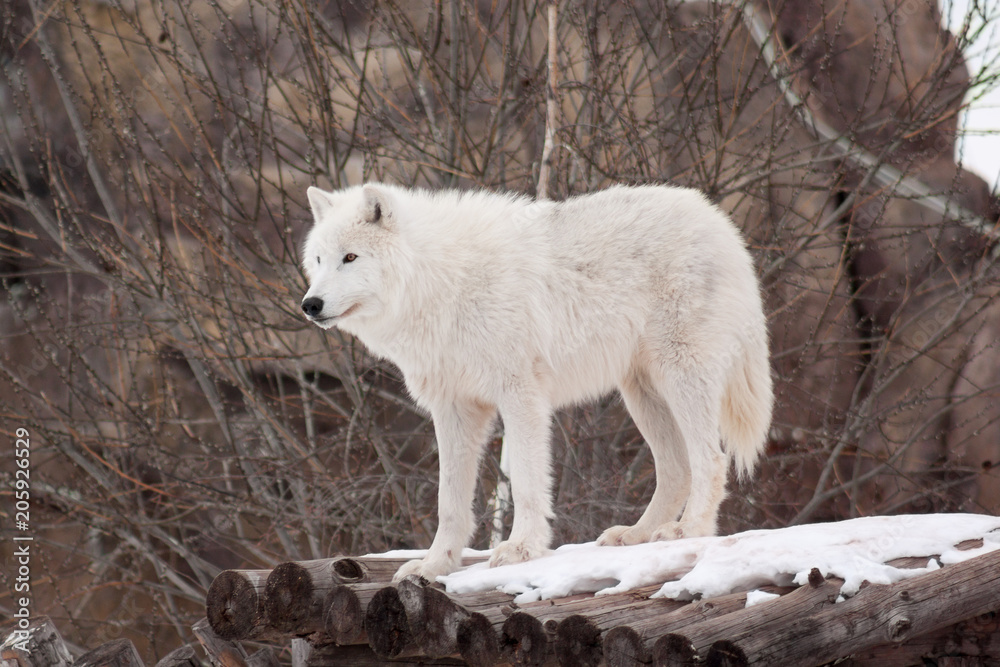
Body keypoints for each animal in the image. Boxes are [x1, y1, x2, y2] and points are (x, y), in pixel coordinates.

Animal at [301, 183, 772, 581]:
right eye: (319, 260)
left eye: (350, 258)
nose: (310, 304)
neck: (440, 279)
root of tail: (719, 220)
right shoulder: (454, 409)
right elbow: (449, 501)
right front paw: (436, 565)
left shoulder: (520, 395)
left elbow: (527, 482)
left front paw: (521, 549)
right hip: (642, 393)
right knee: (676, 469)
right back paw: (636, 534)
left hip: (680, 376)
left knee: (710, 460)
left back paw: (688, 530)